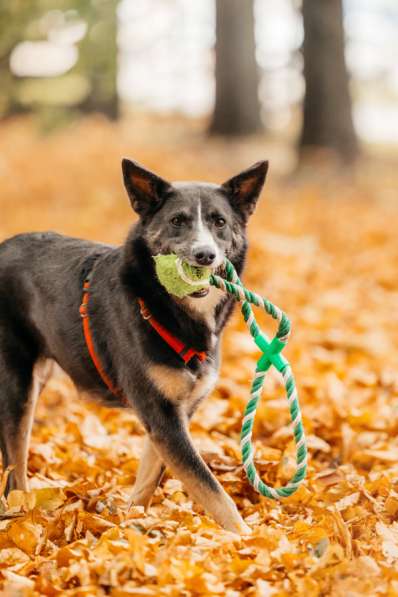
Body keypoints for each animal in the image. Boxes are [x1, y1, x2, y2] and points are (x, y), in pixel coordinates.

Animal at [0, 157, 268, 532]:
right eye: (177, 220)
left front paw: (130, 523)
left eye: (220, 222)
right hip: (17, 385)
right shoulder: (161, 416)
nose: (205, 255)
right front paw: (242, 536)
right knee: (15, 472)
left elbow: (149, 477)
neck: (162, 304)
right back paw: (22, 518)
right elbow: (211, 489)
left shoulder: (176, 415)